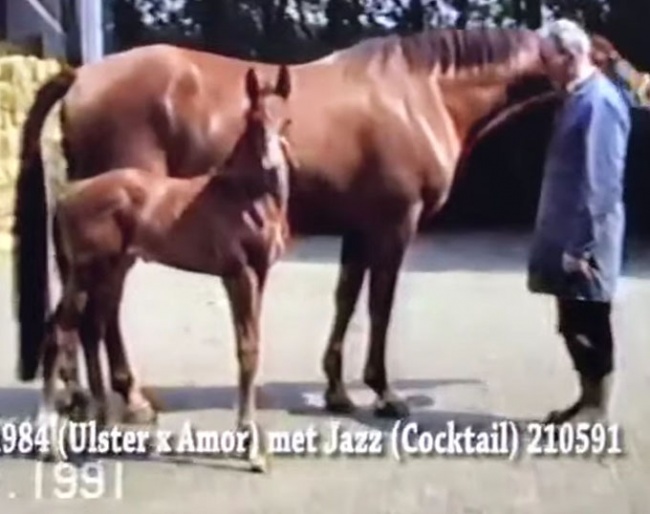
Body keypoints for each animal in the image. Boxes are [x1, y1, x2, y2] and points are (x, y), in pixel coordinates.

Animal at [37, 65, 292, 472]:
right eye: (254, 120)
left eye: (286, 119)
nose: (273, 167)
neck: (244, 196)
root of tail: (67, 196)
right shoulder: (238, 274)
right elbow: (247, 351)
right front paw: (251, 448)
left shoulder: (261, 276)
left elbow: (251, 349)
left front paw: (246, 441)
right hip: (86, 271)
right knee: (61, 332)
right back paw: (51, 442)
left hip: (107, 269)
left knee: (88, 327)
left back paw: (102, 426)